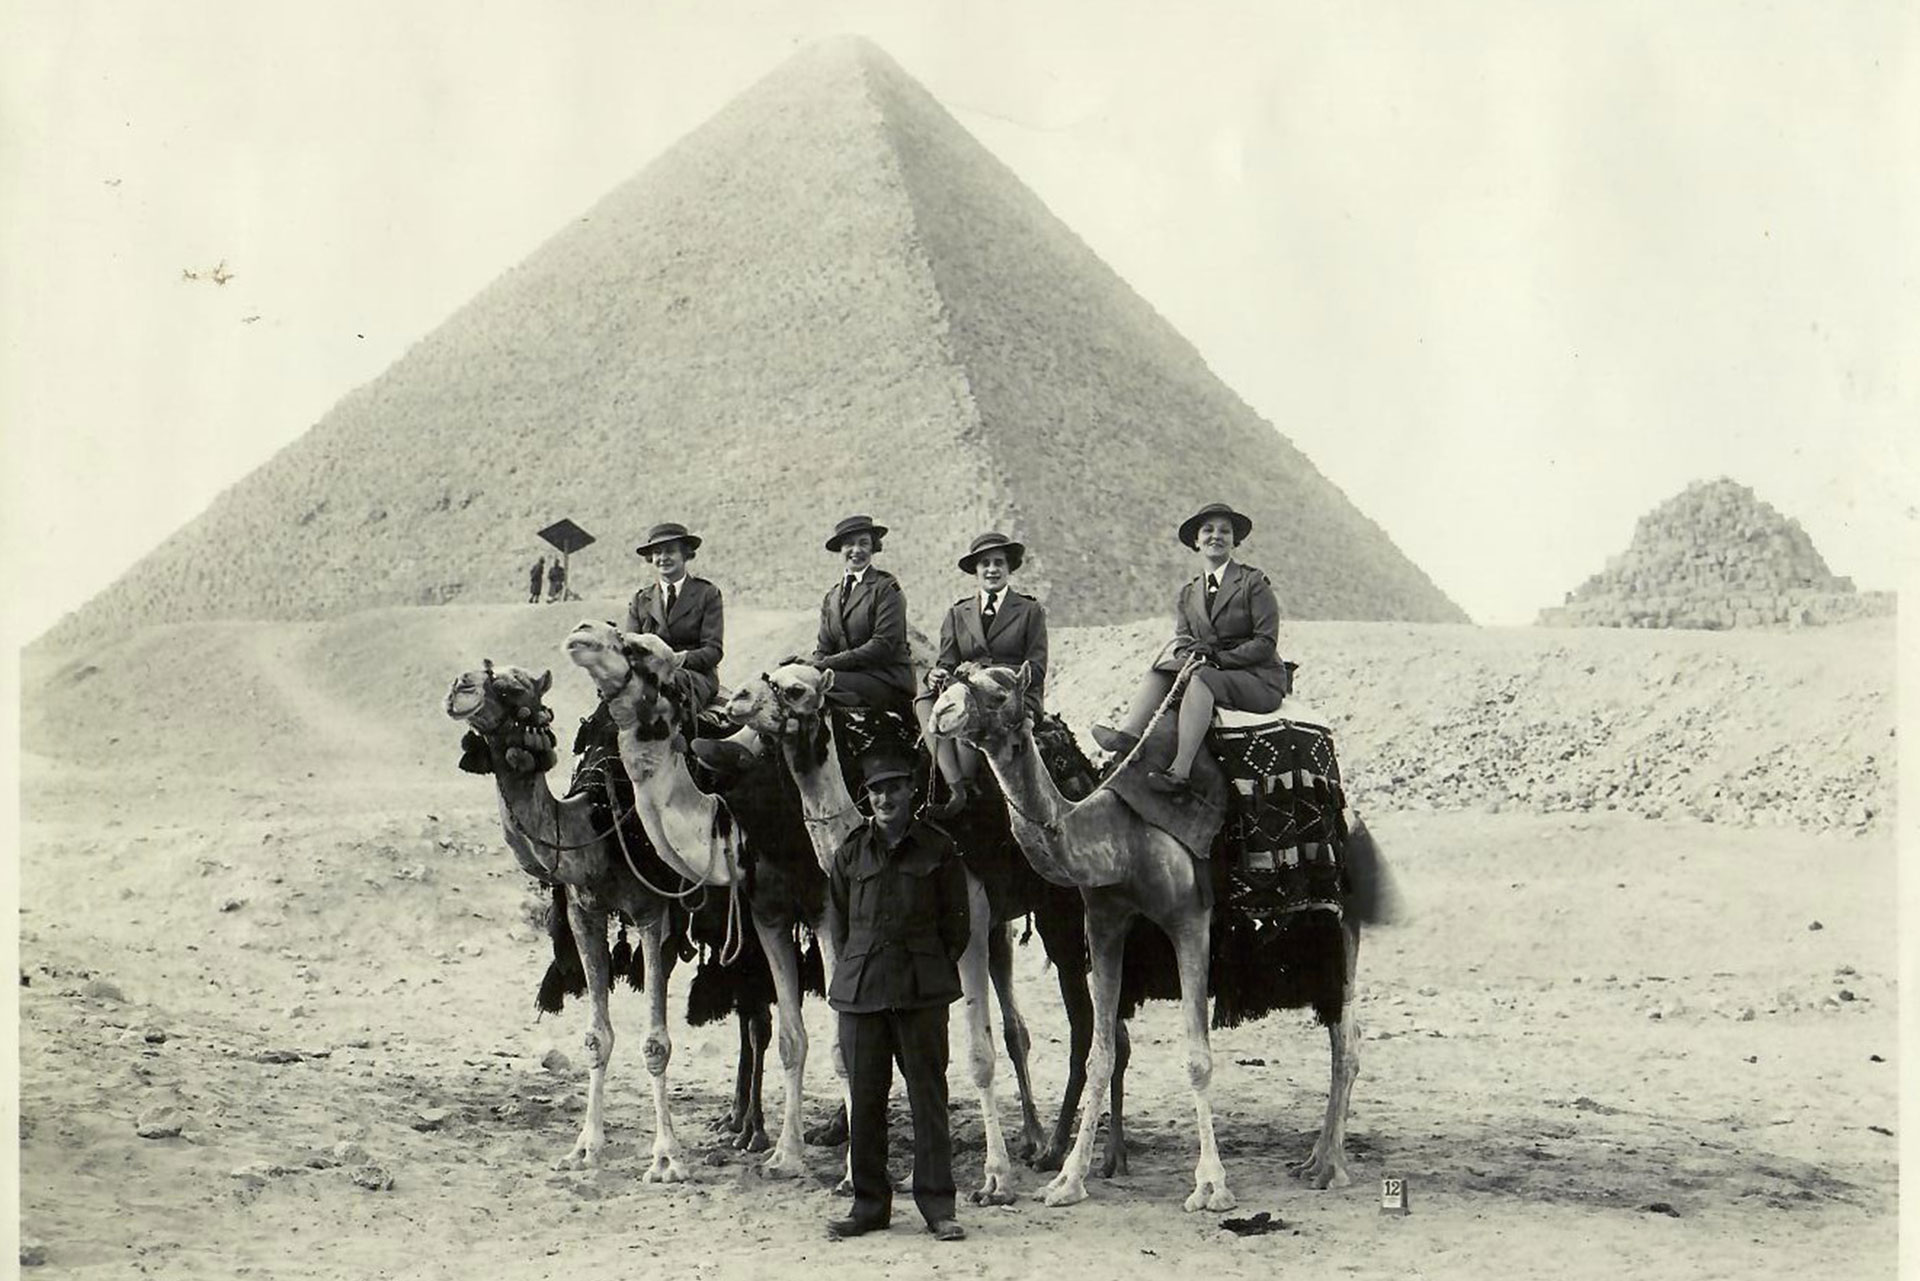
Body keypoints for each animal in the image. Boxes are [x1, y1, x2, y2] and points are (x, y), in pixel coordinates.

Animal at [560, 622, 821, 1183]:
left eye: (640, 649)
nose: (581, 631)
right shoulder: (585, 909)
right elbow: (597, 1033)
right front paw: (586, 1146)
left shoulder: (656, 912)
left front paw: (665, 1158)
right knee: (755, 1021)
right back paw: (742, 1127)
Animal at [925, 660, 1382, 1213]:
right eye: (955, 678)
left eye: (996, 692)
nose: (942, 713)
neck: (1122, 837)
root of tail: (1353, 819)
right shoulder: (1104, 921)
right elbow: (1100, 1053)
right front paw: (1068, 1181)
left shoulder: (1189, 922)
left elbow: (1197, 1060)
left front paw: (1211, 1186)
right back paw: (1313, 1159)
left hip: (1342, 928)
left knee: (1347, 1041)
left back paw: (1330, 1166)